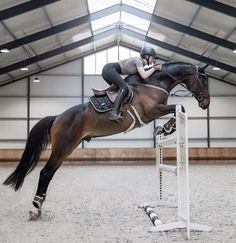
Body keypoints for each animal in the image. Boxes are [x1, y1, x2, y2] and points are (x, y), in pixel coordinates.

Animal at [2, 61, 210, 219]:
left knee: (49, 173)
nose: (206, 103)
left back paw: (38, 205)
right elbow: (180, 106)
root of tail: (58, 117)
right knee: (46, 173)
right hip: (63, 148)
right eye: (203, 80)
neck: (153, 82)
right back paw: (35, 208)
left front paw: (165, 128)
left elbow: (179, 108)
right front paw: (167, 128)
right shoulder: (152, 111)